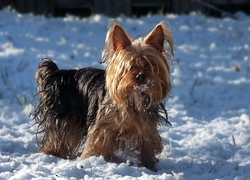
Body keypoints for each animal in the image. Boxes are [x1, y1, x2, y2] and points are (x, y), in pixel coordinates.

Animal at [32, 21, 174, 169]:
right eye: (129, 66)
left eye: (149, 65)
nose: (140, 76)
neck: (134, 98)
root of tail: (58, 74)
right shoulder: (104, 128)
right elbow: (99, 144)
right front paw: (97, 160)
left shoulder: (147, 128)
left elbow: (147, 144)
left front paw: (149, 166)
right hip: (63, 117)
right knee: (59, 136)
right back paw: (53, 153)